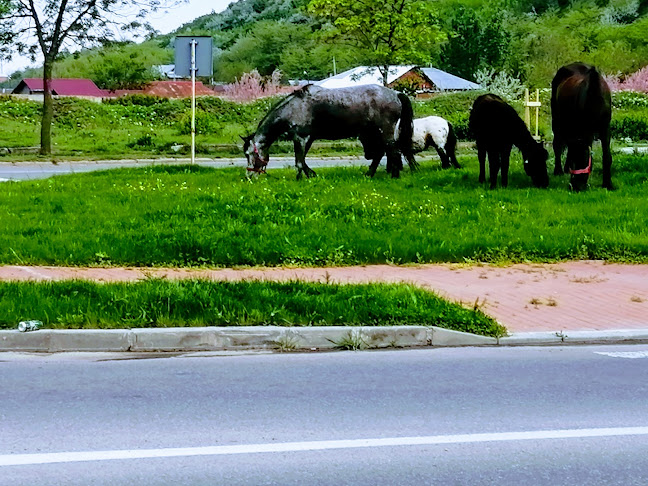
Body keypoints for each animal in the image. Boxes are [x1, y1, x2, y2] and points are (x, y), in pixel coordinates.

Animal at [242, 84, 416, 179]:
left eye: (249, 154)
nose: (249, 175)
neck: (294, 108)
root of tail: (395, 93)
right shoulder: (308, 139)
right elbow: (302, 160)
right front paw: (308, 176)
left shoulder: (300, 138)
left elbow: (299, 162)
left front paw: (304, 177)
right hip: (374, 132)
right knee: (381, 152)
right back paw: (369, 174)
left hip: (384, 131)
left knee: (393, 151)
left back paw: (394, 175)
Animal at [552, 60, 612, 190]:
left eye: (583, 158)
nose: (576, 186)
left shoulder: (605, 129)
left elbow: (607, 156)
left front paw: (607, 184)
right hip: (557, 121)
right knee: (557, 144)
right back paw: (558, 170)